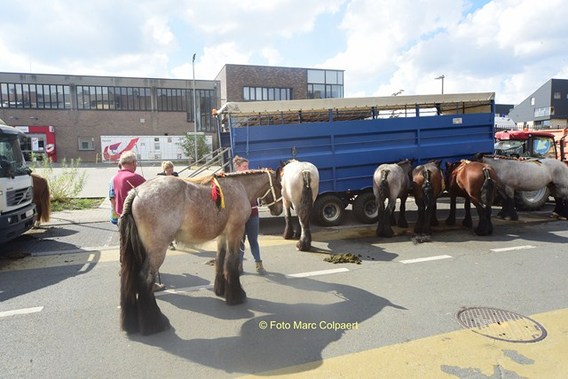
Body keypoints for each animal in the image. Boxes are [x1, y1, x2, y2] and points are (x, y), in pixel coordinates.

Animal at [118, 169, 282, 336]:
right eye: (279, 185)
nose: (279, 209)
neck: (240, 186)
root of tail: (136, 192)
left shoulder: (223, 235)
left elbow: (220, 260)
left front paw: (221, 290)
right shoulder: (235, 231)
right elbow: (232, 263)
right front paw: (236, 296)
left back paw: (131, 323)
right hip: (157, 251)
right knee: (145, 279)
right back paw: (155, 323)